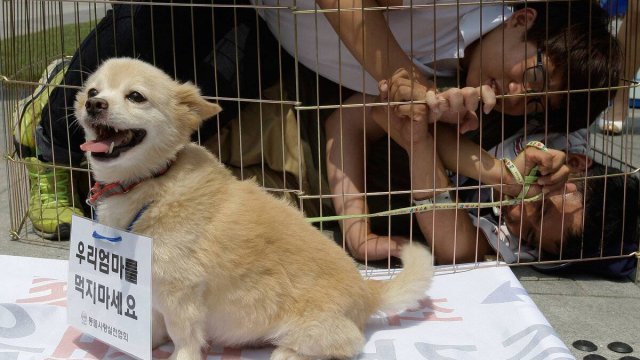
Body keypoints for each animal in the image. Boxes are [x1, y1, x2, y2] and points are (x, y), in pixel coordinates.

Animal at [75, 58, 436, 360]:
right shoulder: (151, 286)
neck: (152, 181)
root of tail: (367, 290)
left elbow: (184, 341)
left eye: (136, 96)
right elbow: (151, 325)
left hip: (310, 330)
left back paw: (289, 353)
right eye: (92, 91)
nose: (94, 104)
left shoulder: (181, 296)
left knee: (345, 344)